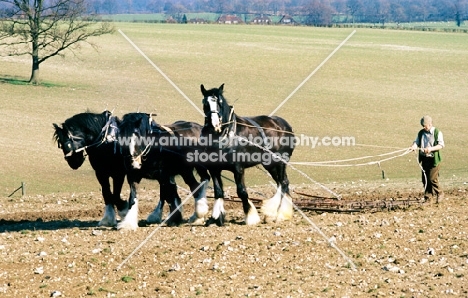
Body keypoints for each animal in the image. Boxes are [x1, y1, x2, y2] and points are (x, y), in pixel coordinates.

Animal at [198, 84, 294, 226]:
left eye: (219, 102)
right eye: (205, 103)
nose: (215, 124)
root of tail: (285, 125)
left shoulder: (238, 168)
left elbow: (242, 191)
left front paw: (250, 217)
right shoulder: (214, 169)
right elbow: (218, 192)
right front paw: (216, 218)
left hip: (281, 161)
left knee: (283, 183)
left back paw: (279, 214)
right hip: (269, 165)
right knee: (282, 183)